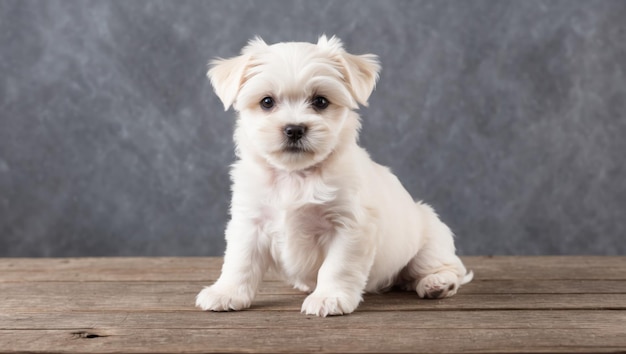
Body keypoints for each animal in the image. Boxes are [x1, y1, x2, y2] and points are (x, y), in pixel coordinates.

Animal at [194, 36, 468, 318]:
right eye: (267, 102)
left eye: (321, 102)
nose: (294, 129)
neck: (295, 176)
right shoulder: (250, 222)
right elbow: (240, 262)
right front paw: (226, 292)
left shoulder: (350, 226)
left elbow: (337, 266)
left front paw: (328, 298)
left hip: (431, 240)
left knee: (446, 268)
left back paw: (437, 283)